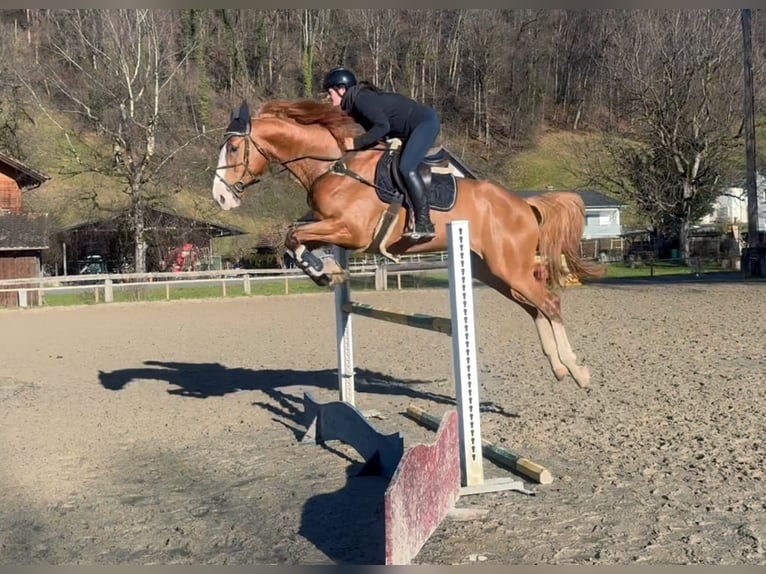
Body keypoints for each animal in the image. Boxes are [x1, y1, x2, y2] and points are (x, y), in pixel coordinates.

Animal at [213, 99, 604, 390]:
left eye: (233, 147)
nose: (220, 197)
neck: (335, 165)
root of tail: (524, 204)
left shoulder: (352, 231)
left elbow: (293, 236)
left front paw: (323, 272)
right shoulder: (329, 225)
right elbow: (294, 234)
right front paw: (329, 270)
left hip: (510, 267)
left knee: (550, 303)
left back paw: (577, 371)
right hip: (495, 272)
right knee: (535, 308)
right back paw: (558, 368)